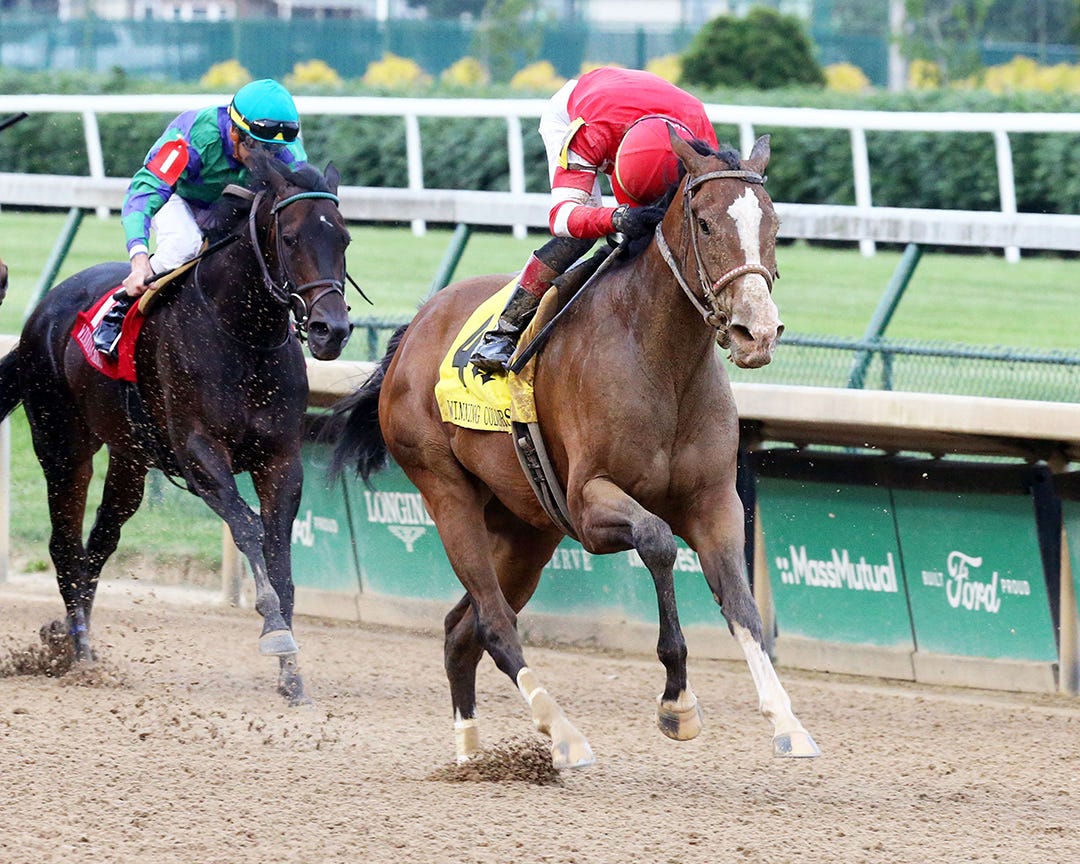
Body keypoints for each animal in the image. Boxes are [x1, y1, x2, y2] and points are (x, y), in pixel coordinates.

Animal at [0, 151, 352, 705]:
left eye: (343, 238)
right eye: (291, 237)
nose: (330, 330)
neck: (241, 334)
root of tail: (41, 314)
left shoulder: (281, 459)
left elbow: (278, 548)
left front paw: (292, 674)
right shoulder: (199, 453)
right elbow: (248, 527)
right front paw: (275, 631)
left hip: (128, 458)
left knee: (99, 543)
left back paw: (69, 639)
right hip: (62, 445)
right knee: (64, 546)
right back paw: (82, 657)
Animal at [327, 129, 820, 767]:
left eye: (775, 224)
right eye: (706, 223)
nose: (756, 333)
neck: (662, 363)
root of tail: (414, 327)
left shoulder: (715, 502)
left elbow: (741, 603)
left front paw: (786, 719)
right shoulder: (588, 505)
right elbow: (658, 542)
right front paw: (678, 702)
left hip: (525, 529)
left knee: (461, 630)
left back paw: (470, 754)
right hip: (447, 492)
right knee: (493, 622)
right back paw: (562, 732)